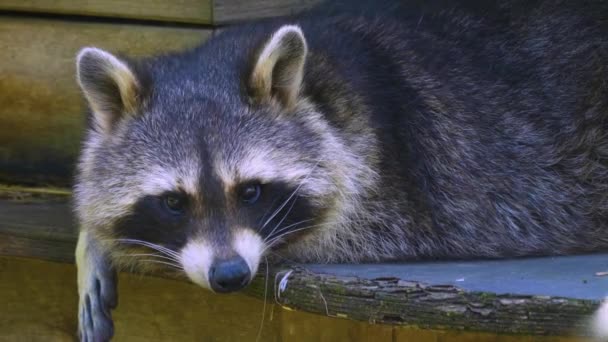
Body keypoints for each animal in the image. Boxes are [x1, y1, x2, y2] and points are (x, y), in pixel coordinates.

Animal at [73, 0, 608, 340]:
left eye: (250, 192)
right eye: (173, 202)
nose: (229, 275)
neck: (317, 85)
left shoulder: (394, 181)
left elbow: (333, 230)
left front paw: (99, 241)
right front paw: (94, 236)